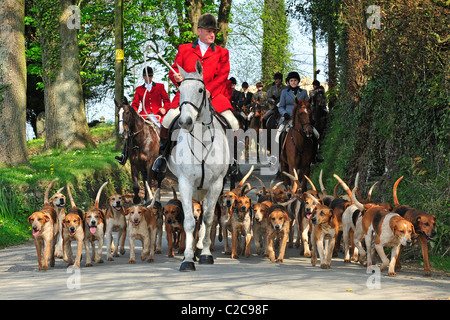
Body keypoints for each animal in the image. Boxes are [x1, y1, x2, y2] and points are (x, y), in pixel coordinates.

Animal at [167, 59, 230, 270]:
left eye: (201, 89)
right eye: (180, 89)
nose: (185, 121)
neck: (201, 141)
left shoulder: (216, 184)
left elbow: (209, 219)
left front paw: (206, 254)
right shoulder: (185, 183)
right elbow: (188, 222)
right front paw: (187, 258)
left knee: (203, 218)